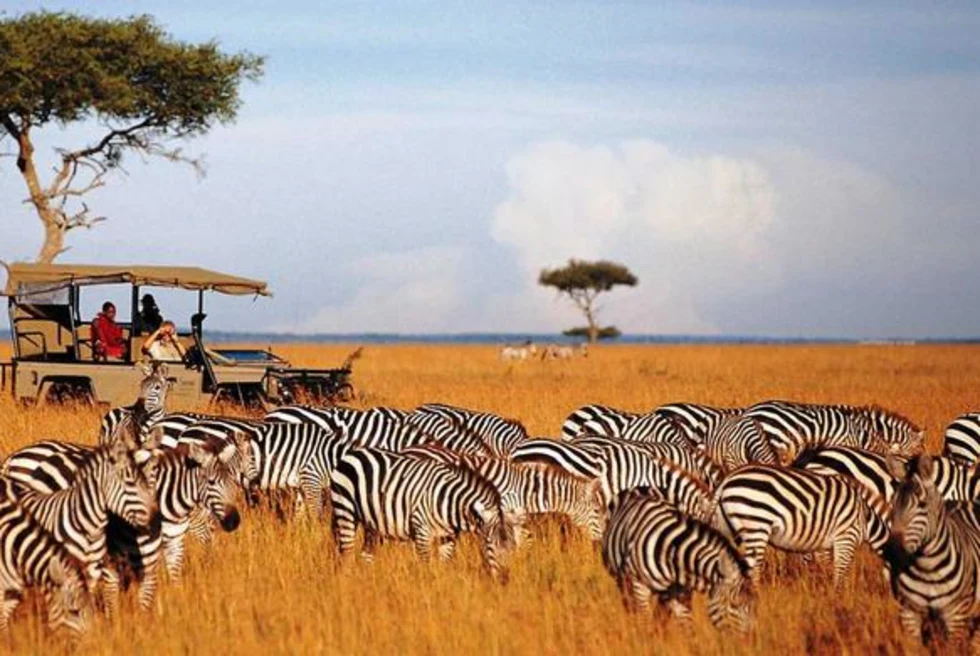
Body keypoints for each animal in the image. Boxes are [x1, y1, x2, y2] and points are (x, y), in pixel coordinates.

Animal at [329, 447, 524, 581]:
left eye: (513, 547)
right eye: (490, 545)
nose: (505, 579)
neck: (449, 502)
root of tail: (352, 453)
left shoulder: (448, 537)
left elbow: (444, 566)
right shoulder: (422, 531)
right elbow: (426, 567)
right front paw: (426, 589)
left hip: (372, 522)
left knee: (366, 555)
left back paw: (369, 581)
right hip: (345, 510)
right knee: (346, 555)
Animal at [602, 487, 754, 632]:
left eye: (752, 605)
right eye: (734, 604)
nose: (750, 638)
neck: (671, 554)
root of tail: (640, 488)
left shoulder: (680, 593)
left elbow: (687, 626)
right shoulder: (639, 585)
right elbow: (645, 621)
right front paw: (645, 640)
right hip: (621, 579)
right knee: (630, 605)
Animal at [709, 464, 890, 588]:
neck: (866, 517)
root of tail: (726, 480)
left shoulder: (825, 543)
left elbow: (827, 566)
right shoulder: (846, 537)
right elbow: (840, 572)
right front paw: (838, 599)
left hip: (727, 527)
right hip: (756, 525)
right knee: (754, 569)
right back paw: (757, 597)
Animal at [886, 455, 980, 646]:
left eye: (922, 505)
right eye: (893, 504)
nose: (891, 553)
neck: (927, 567)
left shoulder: (955, 617)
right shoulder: (909, 613)